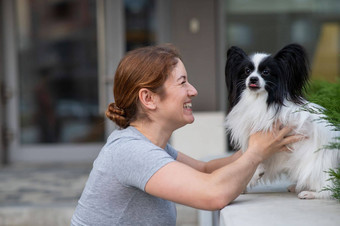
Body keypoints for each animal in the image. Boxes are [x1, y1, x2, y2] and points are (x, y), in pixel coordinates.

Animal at [224, 43, 338, 199]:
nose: (253, 79)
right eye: (247, 71)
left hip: (315, 164)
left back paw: (310, 193)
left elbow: (256, 159)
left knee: (327, 187)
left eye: (266, 72)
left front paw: (253, 176)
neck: (258, 100)